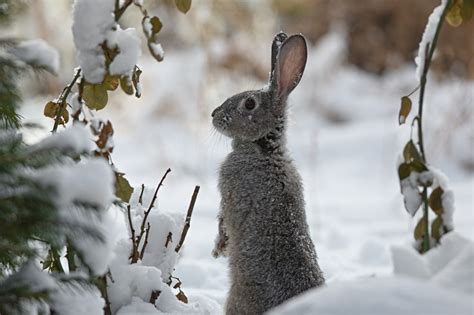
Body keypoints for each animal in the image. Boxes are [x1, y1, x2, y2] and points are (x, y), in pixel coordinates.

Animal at [212, 32, 326, 315]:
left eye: (249, 103)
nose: (213, 115)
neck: (264, 149)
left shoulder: (229, 193)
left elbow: (223, 221)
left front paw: (219, 249)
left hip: (237, 300)